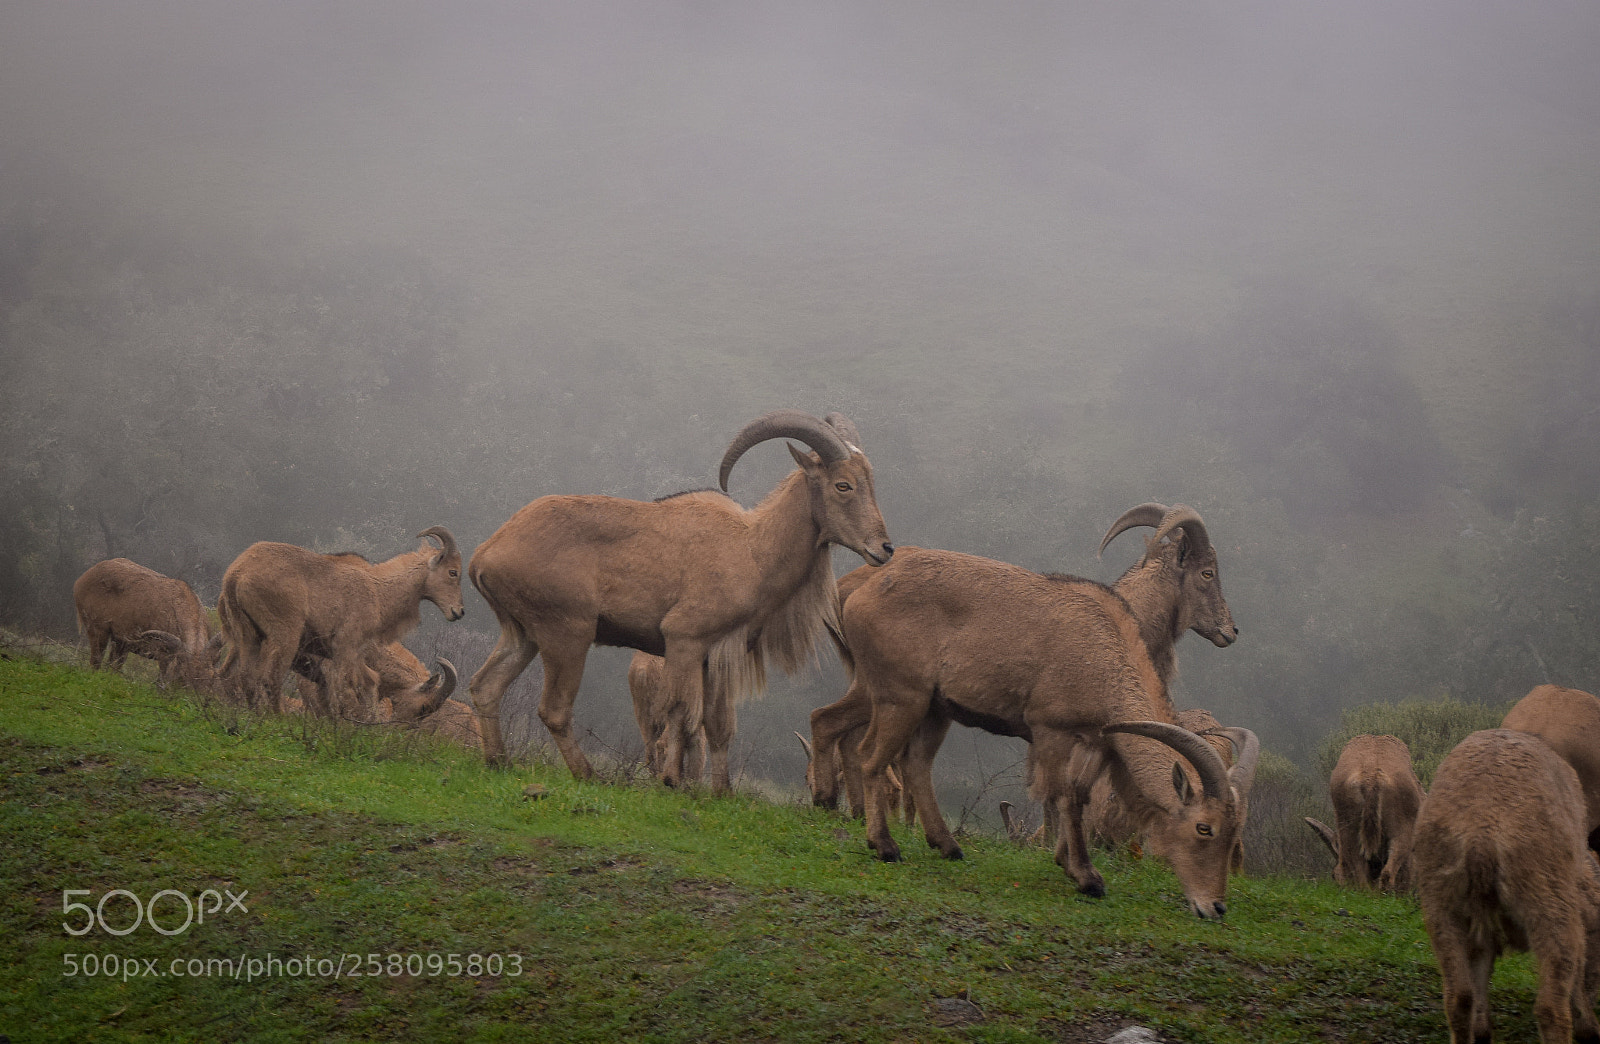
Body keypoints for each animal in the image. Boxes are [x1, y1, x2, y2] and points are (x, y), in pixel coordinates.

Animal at [73, 558, 219, 690]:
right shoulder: (163, 654)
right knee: (95, 661)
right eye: (183, 676)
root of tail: (81, 580)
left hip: (120, 642)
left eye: (211, 678)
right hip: (98, 630)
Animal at [217, 527, 465, 717]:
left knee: (242, 676)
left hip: (246, 635)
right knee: (269, 679)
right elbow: (343, 694)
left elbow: (369, 684)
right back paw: (276, 719)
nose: (459, 611)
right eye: (453, 572)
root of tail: (237, 573)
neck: (378, 591)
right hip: (285, 636)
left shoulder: (350, 656)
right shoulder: (344, 650)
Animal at [467, 409, 894, 790]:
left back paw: (498, 761)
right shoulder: (684, 639)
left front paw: (721, 792)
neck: (752, 550)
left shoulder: (712, 657)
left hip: (523, 633)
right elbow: (681, 718)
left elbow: (717, 727)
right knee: (554, 709)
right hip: (567, 633)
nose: (884, 549)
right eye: (843, 485)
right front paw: (673, 781)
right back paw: (588, 775)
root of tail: (486, 552)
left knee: (486, 686)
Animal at [843, 546, 1259, 919]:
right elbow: (1063, 796)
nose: (1215, 907)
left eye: (1234, 832)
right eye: (1204, 828)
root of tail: (862, 590)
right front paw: (1086, 878)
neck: (1105, 650)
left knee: (917, 763)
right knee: (870, 756)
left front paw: (1072, 865)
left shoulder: (1097, 740)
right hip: (901, 695)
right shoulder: (1051, 730)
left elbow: (1079, 796)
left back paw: (948, 846)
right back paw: (885, 846)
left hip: (935, 708)